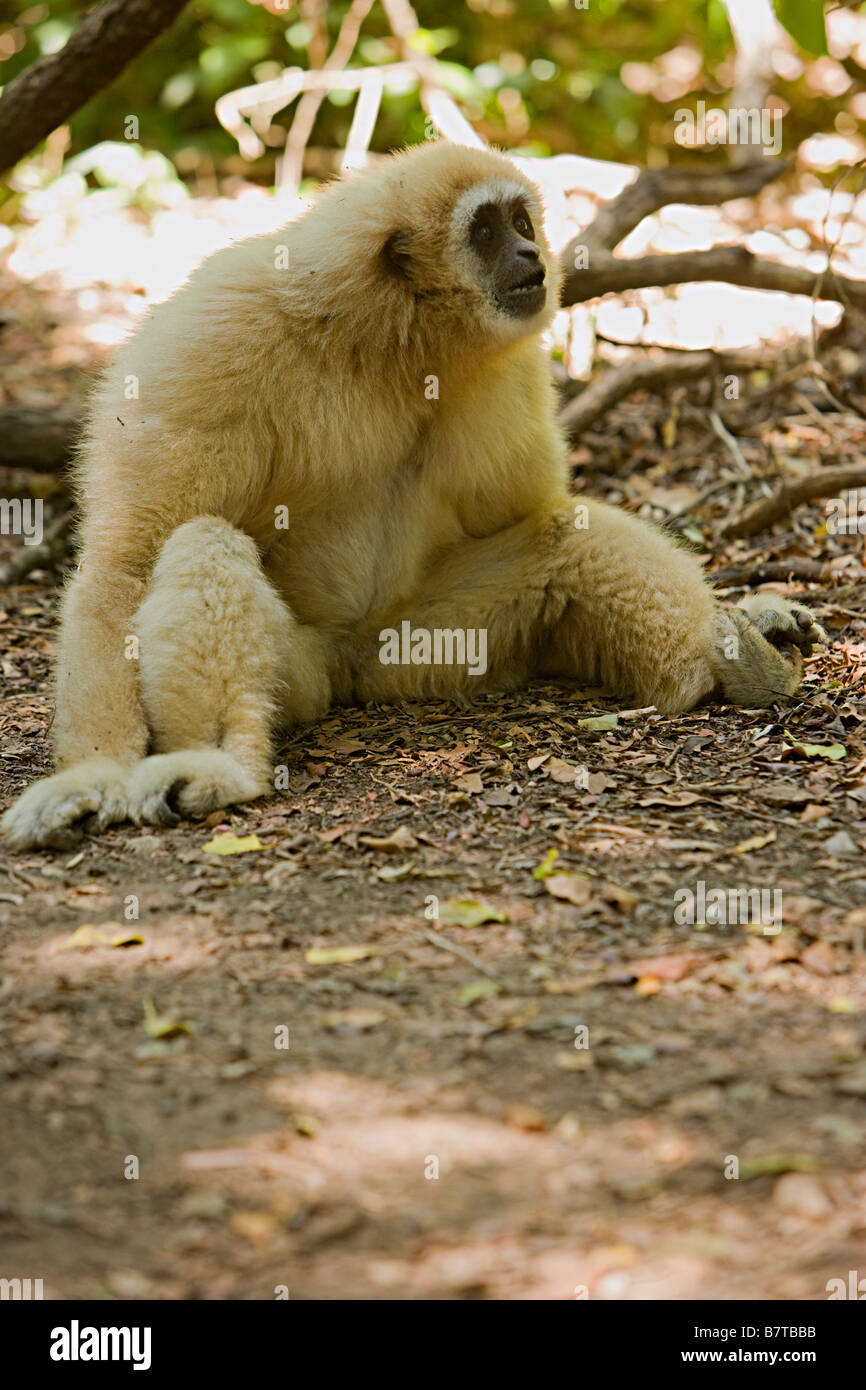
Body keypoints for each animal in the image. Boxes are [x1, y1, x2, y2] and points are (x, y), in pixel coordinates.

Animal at [2, 140, 825, 850]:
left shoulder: (508, 363)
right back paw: (223, 765)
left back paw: (729, 658)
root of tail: (350, 665)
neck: (387, 342)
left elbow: (531, 512)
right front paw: (93, 776)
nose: (530, 254)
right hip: (303, 668)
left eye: (520, 222)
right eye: (485, 231)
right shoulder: (213, 337)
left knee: (563, 534)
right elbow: (124, 566)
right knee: (200, 539)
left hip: (423, 643)